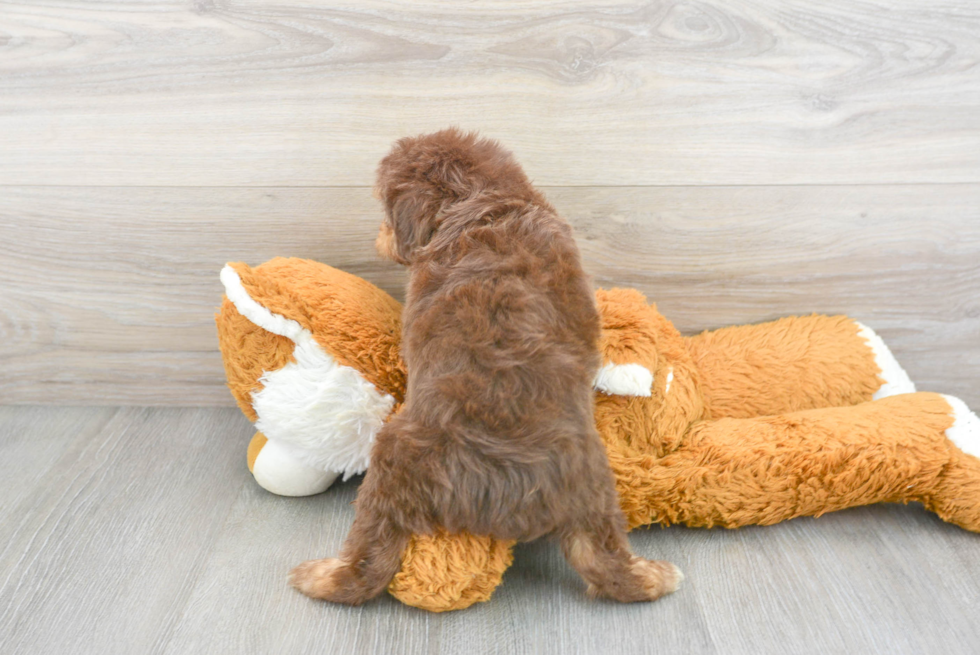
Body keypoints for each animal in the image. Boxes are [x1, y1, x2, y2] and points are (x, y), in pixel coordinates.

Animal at [290, 127, 680, 604]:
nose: (379, 235)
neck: (487, 202)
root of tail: (504, 493)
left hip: (392, 463)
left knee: (368, 558)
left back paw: (323, 576)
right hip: (596, 488)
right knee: (603, 558)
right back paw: (647, 575)